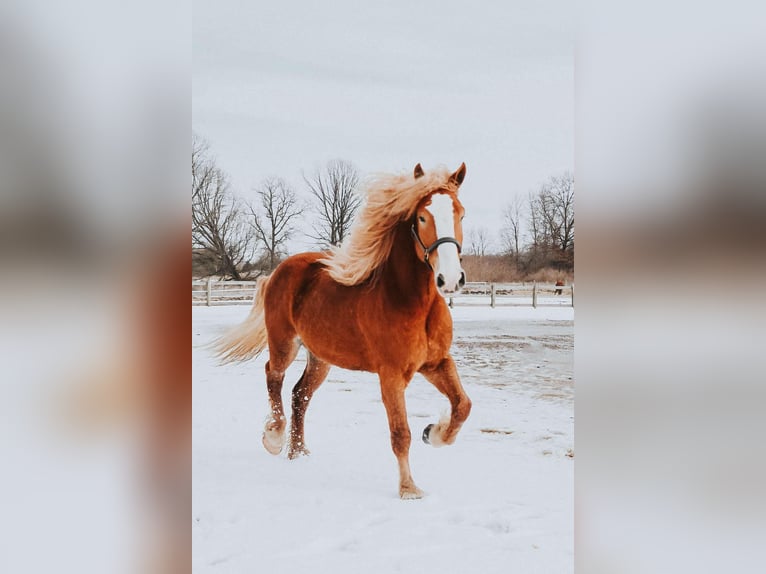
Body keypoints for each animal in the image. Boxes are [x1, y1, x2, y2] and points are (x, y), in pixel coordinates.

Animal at [214, 162, 472, 499]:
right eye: (422, 217)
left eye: (461, 214)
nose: (450, 280)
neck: (411, 303)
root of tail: (277, 272)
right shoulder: (391, 375)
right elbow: (400, 433)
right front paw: (409, 489)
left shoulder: (437, 363)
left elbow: (462, 405)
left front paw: (434, 433)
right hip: (284, 343)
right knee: (273, 375)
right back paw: (274, 438)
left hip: (321, 357)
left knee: (300, 394)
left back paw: (299, 453)